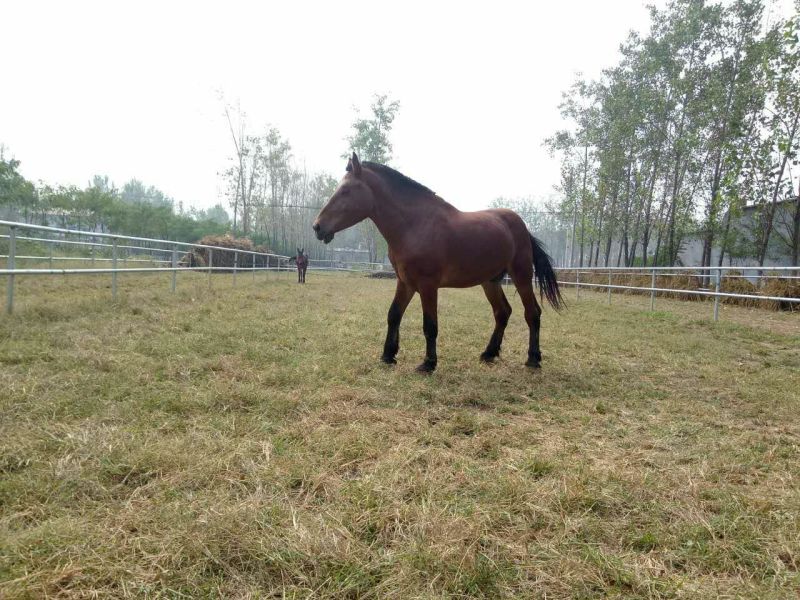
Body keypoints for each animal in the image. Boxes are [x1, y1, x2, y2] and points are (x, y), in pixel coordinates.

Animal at [312, 153, 563, 373]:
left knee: (532, 313)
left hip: (521, 276)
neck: (414, 225)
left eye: (345, 190)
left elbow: (430, 325)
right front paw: (388, 356)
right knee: (502, 313)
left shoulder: (427, 285)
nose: (317, 226)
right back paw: (489, 353)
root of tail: (521, 226)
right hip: (490, 281)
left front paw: (428, 363)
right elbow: (393, 315)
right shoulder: (405, 283)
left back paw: (533, 359)